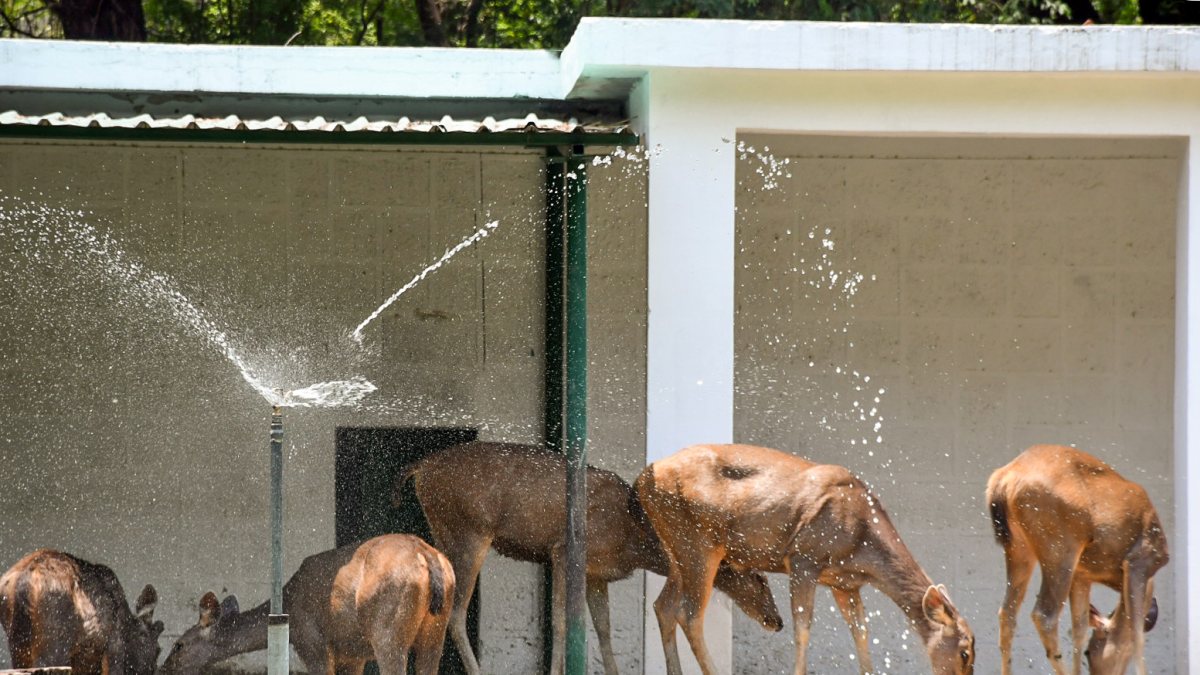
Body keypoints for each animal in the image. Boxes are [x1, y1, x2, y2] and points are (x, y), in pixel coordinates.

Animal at [0, 549, 163, 675]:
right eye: (158, 650)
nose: (151, 670)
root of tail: (23, 582)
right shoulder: (114, 649)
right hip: (53, 646)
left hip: (19, 648)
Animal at [160, 533, 454, 675]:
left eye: (179, 645)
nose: (163, 669)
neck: (288, 601)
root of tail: (427, 554)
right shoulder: (353, 652)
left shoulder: (311, 642)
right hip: (435, 632)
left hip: (387, 631)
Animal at [393, 441, 784, 675]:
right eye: (760, 577)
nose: (777, 620)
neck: (633, 539)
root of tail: (420, 468)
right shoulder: (563, 552)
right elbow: (562, 622)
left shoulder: (598, 574)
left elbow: (604, 629)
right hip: (469, 530)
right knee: (456, 612)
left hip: (446, 531)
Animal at [635, 444, 976, 675]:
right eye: (965, 653)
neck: (862, 544)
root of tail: (641, 480)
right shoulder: (804, 557)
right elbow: (802, 627)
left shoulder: (844, 583)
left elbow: (861, 632)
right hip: (697, 542)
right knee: (689, 614)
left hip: (677, 550)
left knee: (664, 606)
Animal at [986, 444, 1169, 675]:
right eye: (1089, 654)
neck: (1115, 580)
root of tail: (1004, 478)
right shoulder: (1139, 562)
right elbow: (1137, 636)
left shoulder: (1083, 574)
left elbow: (1079, 629)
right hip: (1060, 548)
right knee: (1044, 615)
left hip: (1019, 548)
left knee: (1007, 613)